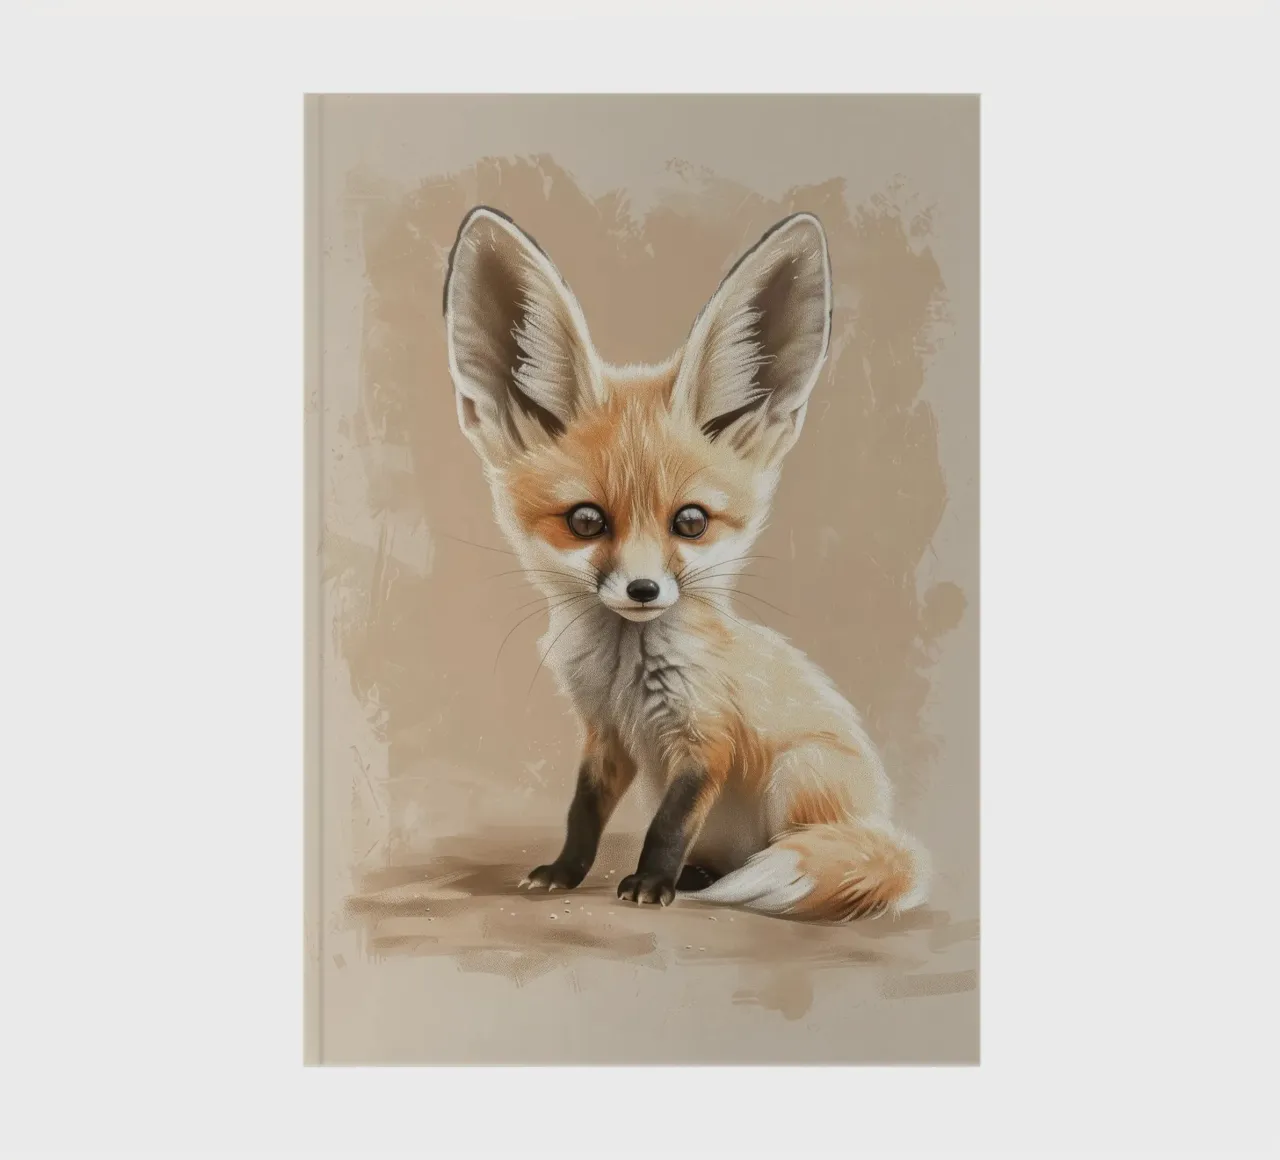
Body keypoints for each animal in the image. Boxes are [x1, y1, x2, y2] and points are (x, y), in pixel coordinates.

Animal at [441, 205, 931, 922]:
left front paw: (650, 882)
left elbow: (669, 825)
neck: (624, 674)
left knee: (806, 848)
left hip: (798, 775)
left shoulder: (707, 740)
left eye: (691, 522)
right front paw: (565, 872)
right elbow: (582, 813)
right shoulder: (606, 737)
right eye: (586, 521)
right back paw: (704, 875)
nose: (644, 589)